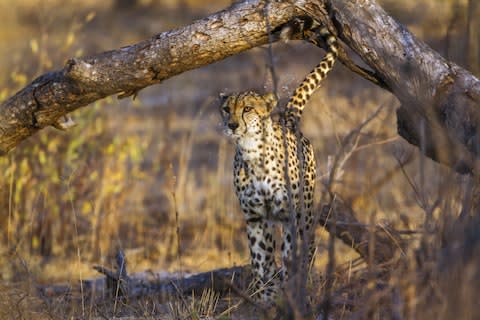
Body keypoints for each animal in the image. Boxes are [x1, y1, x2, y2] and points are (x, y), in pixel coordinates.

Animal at [219, 25, 336, 302]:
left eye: (248, 108)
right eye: (227, 109)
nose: (232, 125)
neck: (252, 152)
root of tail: (287, 118)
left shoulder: (291, 214)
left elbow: (291, 253)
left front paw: (289, 289)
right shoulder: (255, 217)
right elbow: (261, 257)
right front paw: (267, 294)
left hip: (304, 210)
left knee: (307, 246)